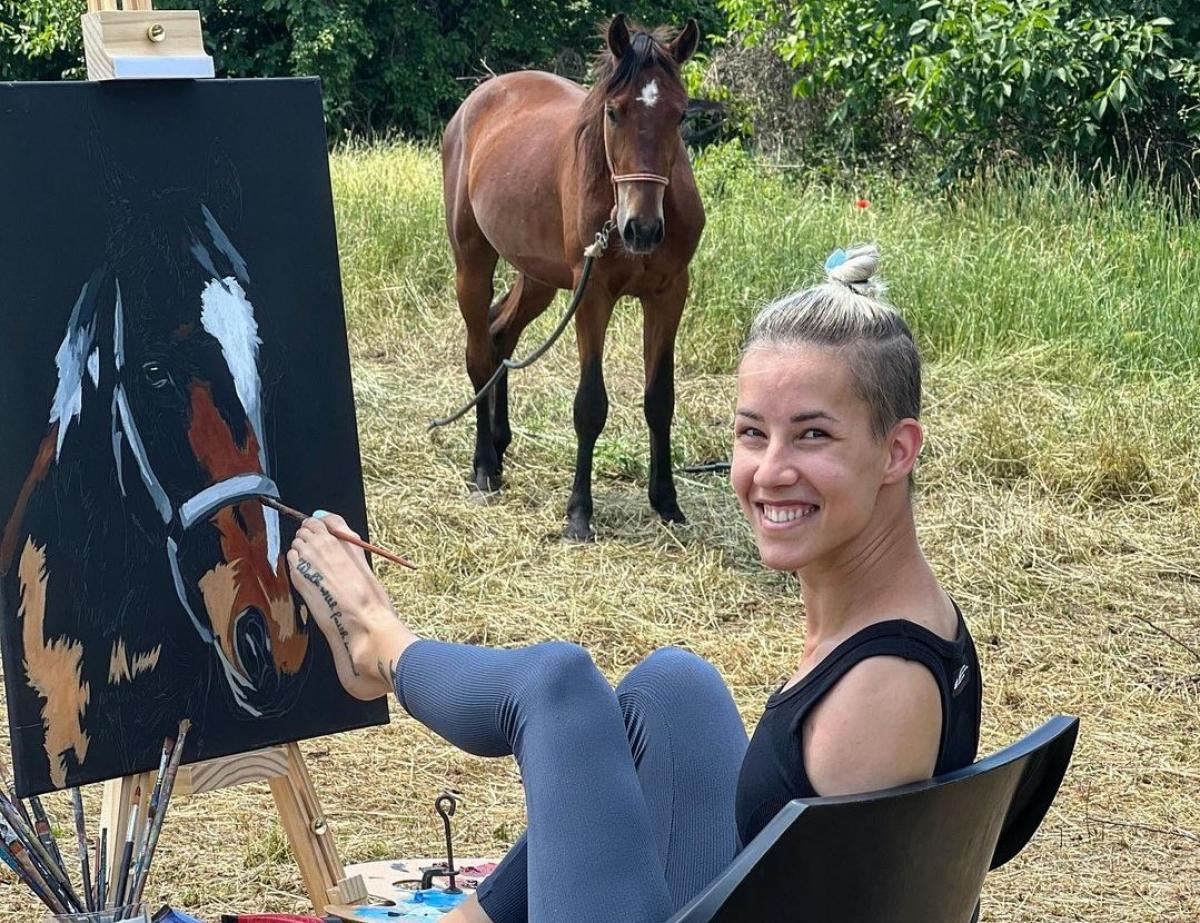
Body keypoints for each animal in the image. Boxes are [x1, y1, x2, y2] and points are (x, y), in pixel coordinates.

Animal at [441, 12, 700, 540]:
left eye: (680, 115)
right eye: (613, 112)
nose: (642, 229)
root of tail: (475, 102)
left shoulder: (668, 295)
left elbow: (659, 399)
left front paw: (666, 502)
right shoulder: (593, 294)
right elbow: (590, 405)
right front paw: (579, 512)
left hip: (537, 277)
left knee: (500, 334)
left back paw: (499, 445)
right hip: (472, 263)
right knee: (478, 354)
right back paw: (483, 466)